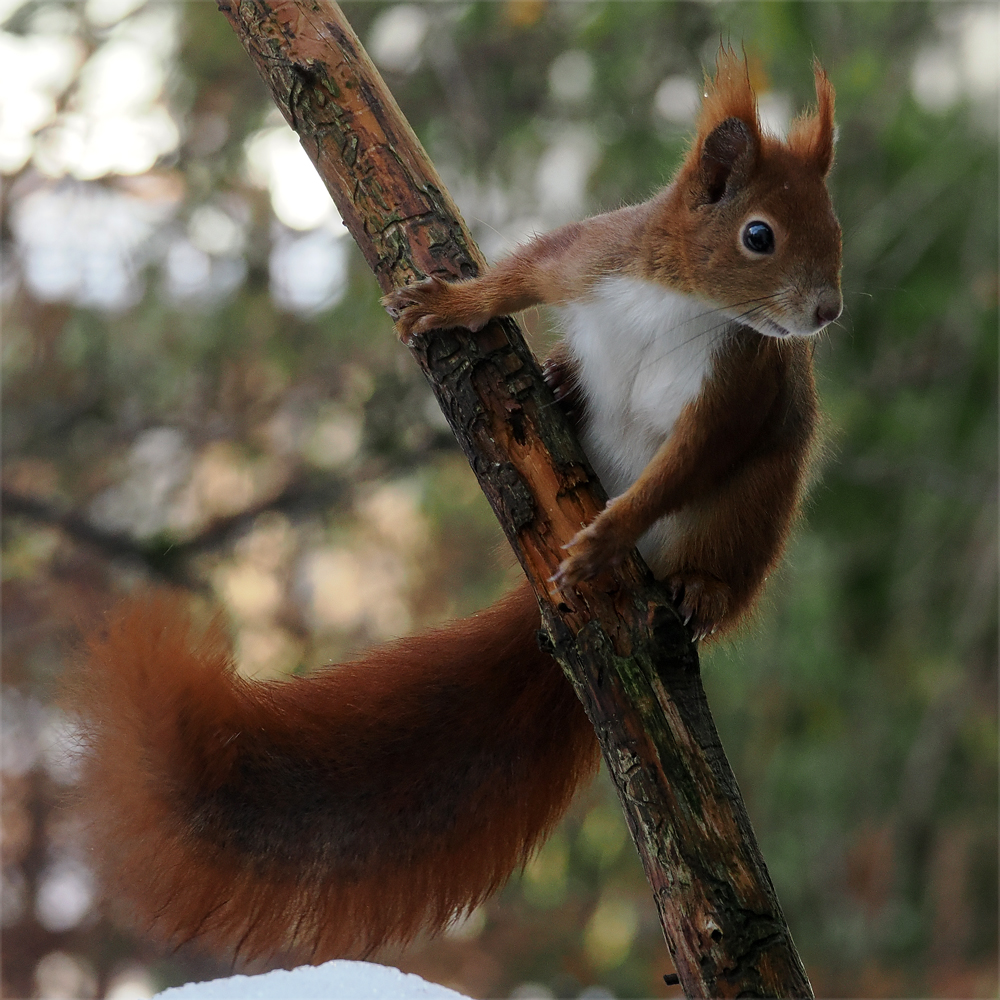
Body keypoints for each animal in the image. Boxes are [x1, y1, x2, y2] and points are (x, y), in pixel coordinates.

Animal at [74, 50, 844, 964]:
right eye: (759, 235)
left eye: (835, 228)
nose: (828, 310)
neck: (683, 303)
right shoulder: (594, 255)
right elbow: (520, 274)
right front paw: (451, 306)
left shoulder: (736, 388)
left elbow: (686, 465)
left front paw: (602, 539)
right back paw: (558, 385)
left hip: (744, 518)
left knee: (718, 555)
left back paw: (696, 590)